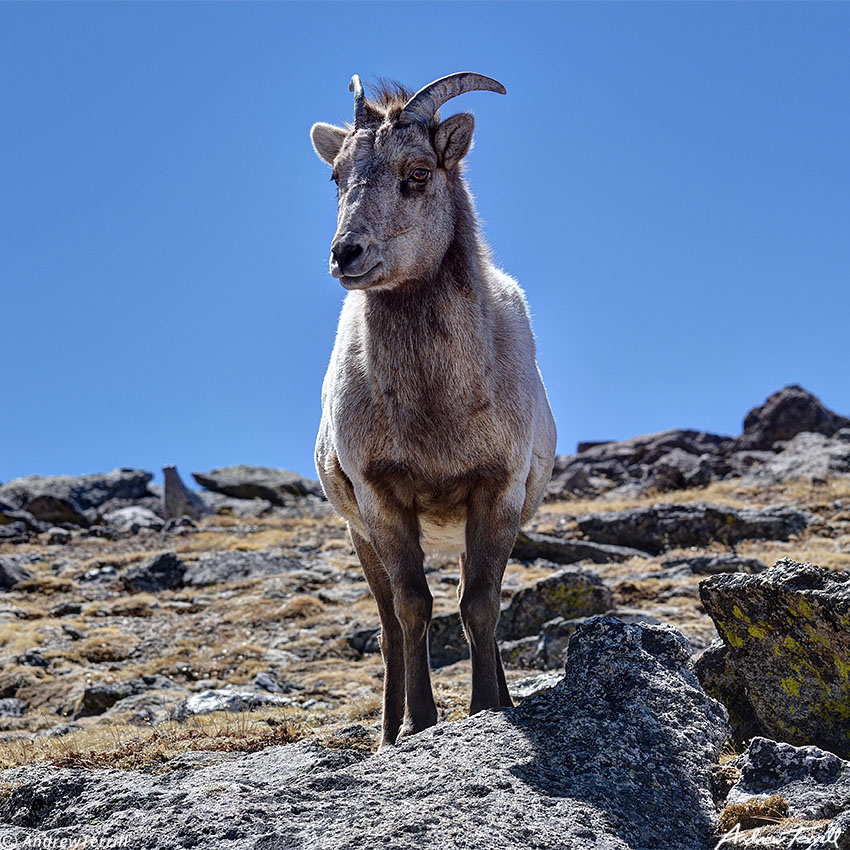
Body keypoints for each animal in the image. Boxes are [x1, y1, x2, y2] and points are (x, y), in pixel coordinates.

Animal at [308, 71, 552, 744]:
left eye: (417, 172)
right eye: (337, 176)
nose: (346, 255)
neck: (437, 411)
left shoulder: (496, 493)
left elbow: (481, 606)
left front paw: (489, 706)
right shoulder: (382, 501)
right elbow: (414, 607)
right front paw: (421, 722)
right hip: (359, 536)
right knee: (390, 629)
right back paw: (388, 732)